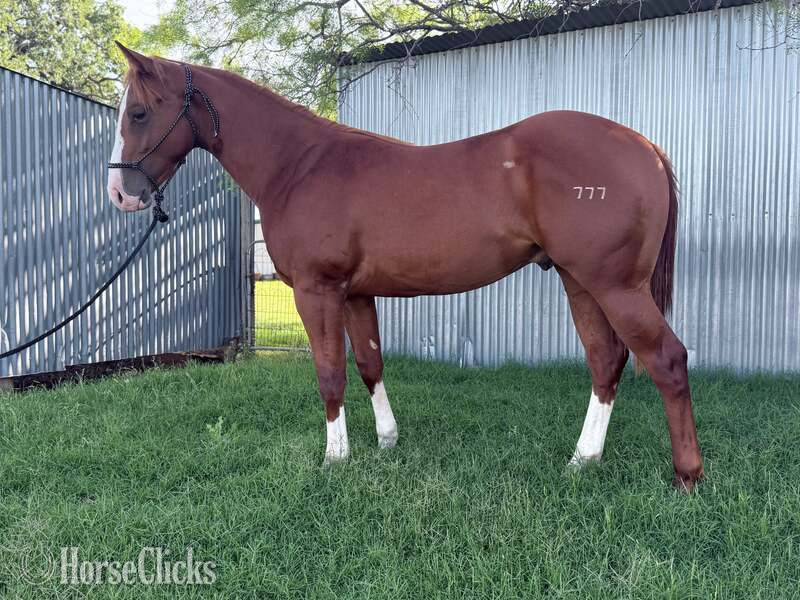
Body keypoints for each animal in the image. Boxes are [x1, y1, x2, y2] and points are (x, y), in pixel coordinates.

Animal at [107, 43, 704, 491]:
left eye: (138, 112)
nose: (120, 194)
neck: (299, 165)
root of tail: (643, 145)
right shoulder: (355, 294)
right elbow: (370, 365)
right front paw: (387, 442)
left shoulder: (317, 291)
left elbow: (330, 374)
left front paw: (335, 458)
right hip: (580, 282)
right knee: (606, 361)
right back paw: (582, 461)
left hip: (616, 286)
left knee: (667, 360)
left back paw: (687, 476)